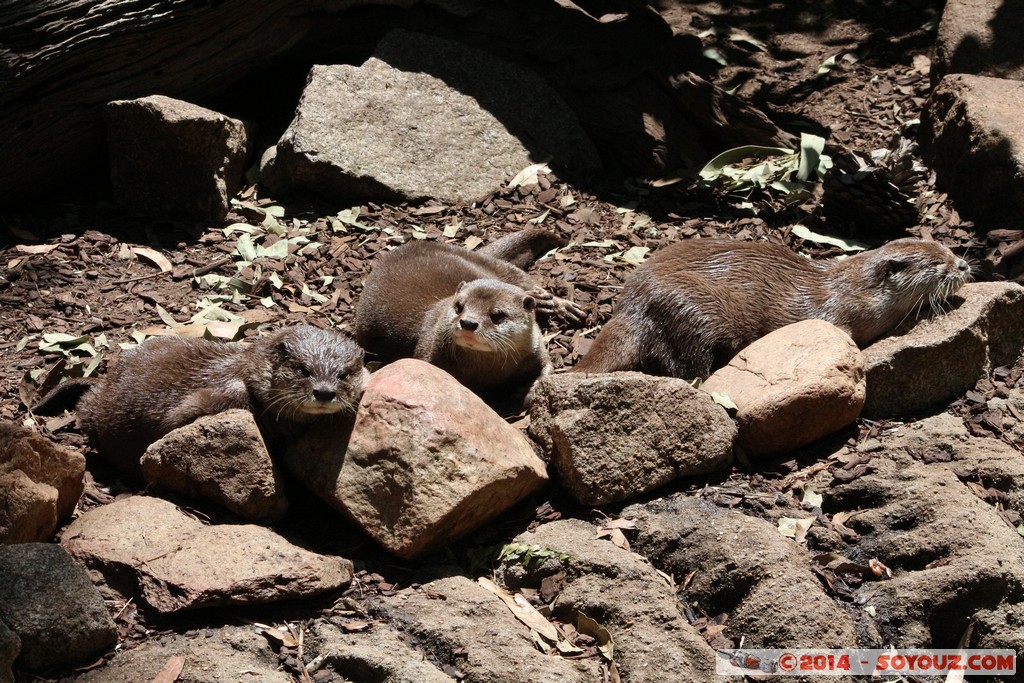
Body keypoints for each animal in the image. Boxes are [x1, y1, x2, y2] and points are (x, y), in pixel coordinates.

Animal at [573, 237, 970, 378]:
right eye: (937, 265)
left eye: (948, 249)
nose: (964, 265)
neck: (849, 293)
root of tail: (631, 303)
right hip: (692, 310)